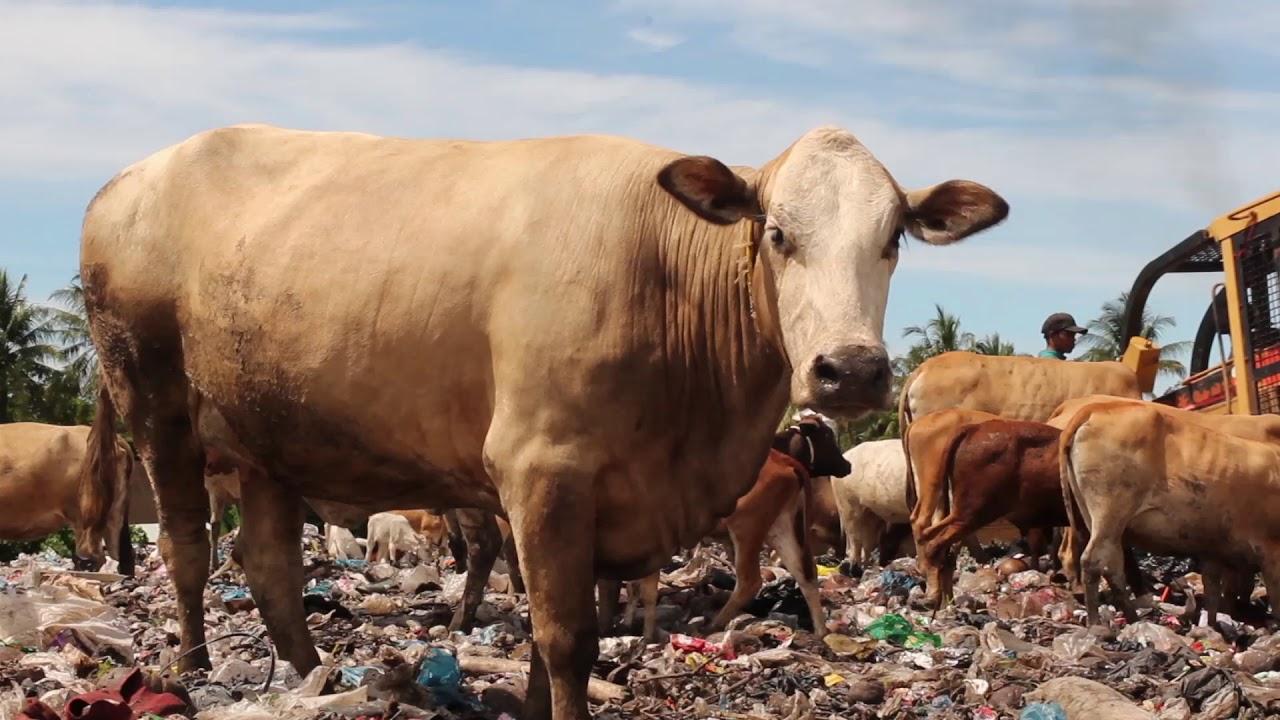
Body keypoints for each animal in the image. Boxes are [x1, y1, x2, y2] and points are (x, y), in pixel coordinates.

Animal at [597, 415, 851, 642]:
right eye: (826, 435)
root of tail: (784, 461)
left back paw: (714, 624)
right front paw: (627, 624)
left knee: (750, 581)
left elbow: (645, 590)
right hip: (781, 529)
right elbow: (634, 587)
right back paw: (820, 631)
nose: (847, 465)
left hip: (747, 528)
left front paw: (645, 634)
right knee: (805, 573)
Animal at [1060, 403, 1280, 628]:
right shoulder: (1270, 548)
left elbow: (1214, 592)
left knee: (1112, 566)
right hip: (1110, 511)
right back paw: (1095, 622)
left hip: (1101, 521)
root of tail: (1095, 407)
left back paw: (1133, 619)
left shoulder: (1214, 549)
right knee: (1093, 561)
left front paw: (1214, 624)